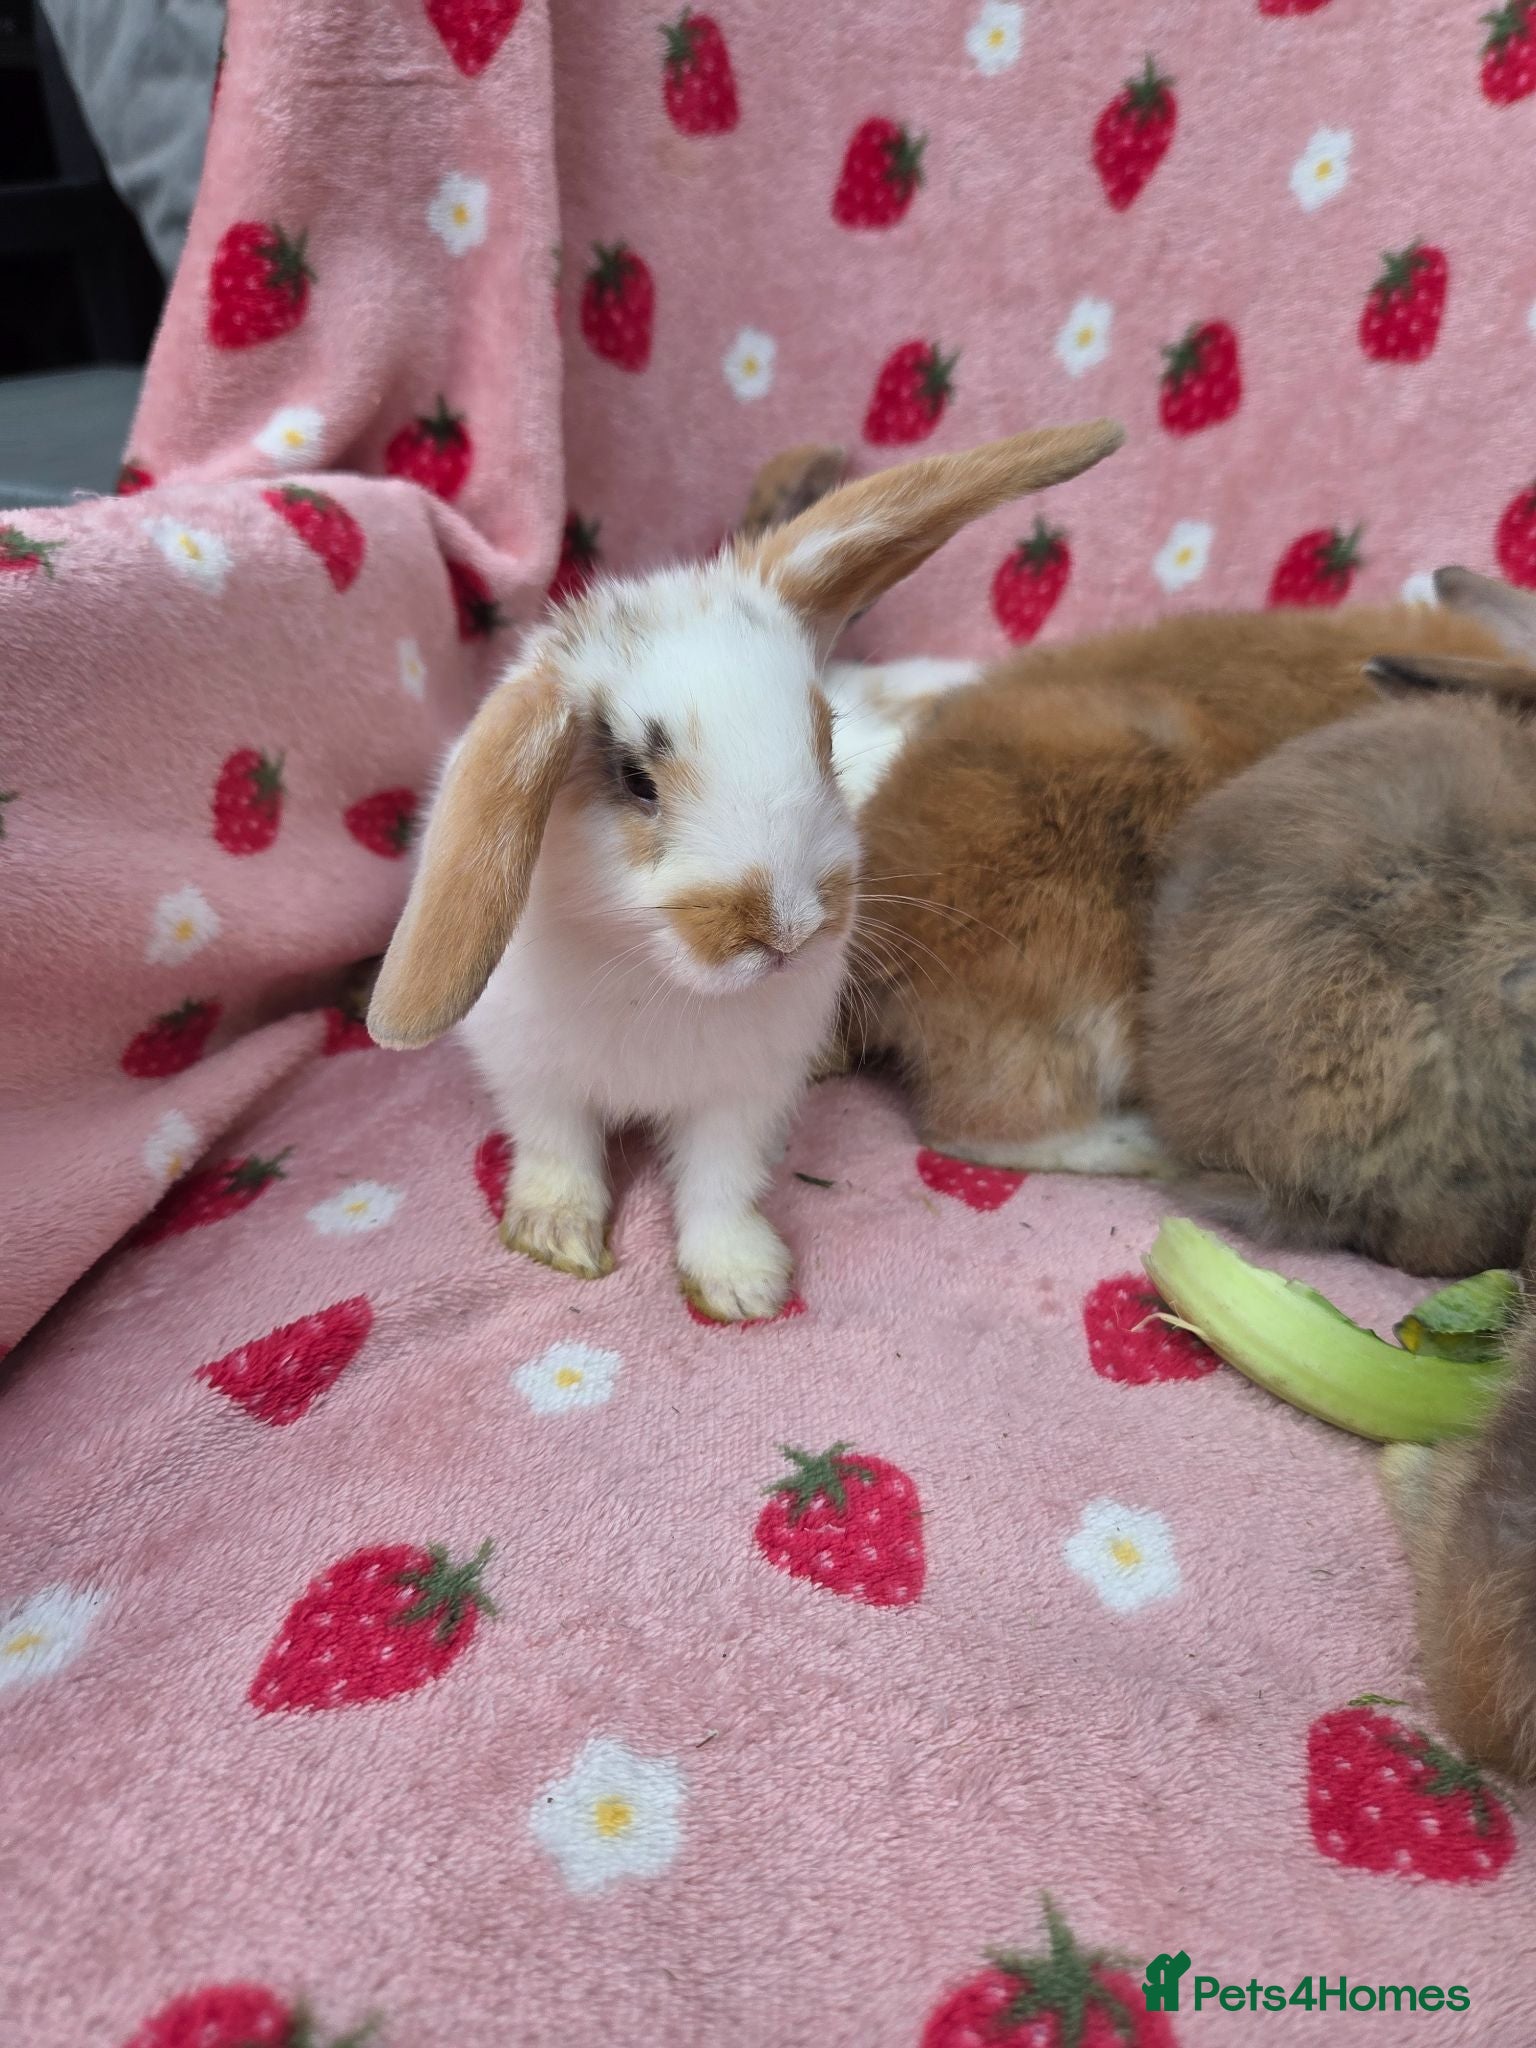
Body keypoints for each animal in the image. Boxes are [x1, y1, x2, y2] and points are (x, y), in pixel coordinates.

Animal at [366, 418, 1125, 1322]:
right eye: (636, 780)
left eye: (826, 737)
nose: (787, 930)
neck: (654, 980)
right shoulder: (534, 1076)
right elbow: (559, 1152)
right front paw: (555, 1240)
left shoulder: (742, 1096)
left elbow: (720, 1183)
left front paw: (741, 1284)